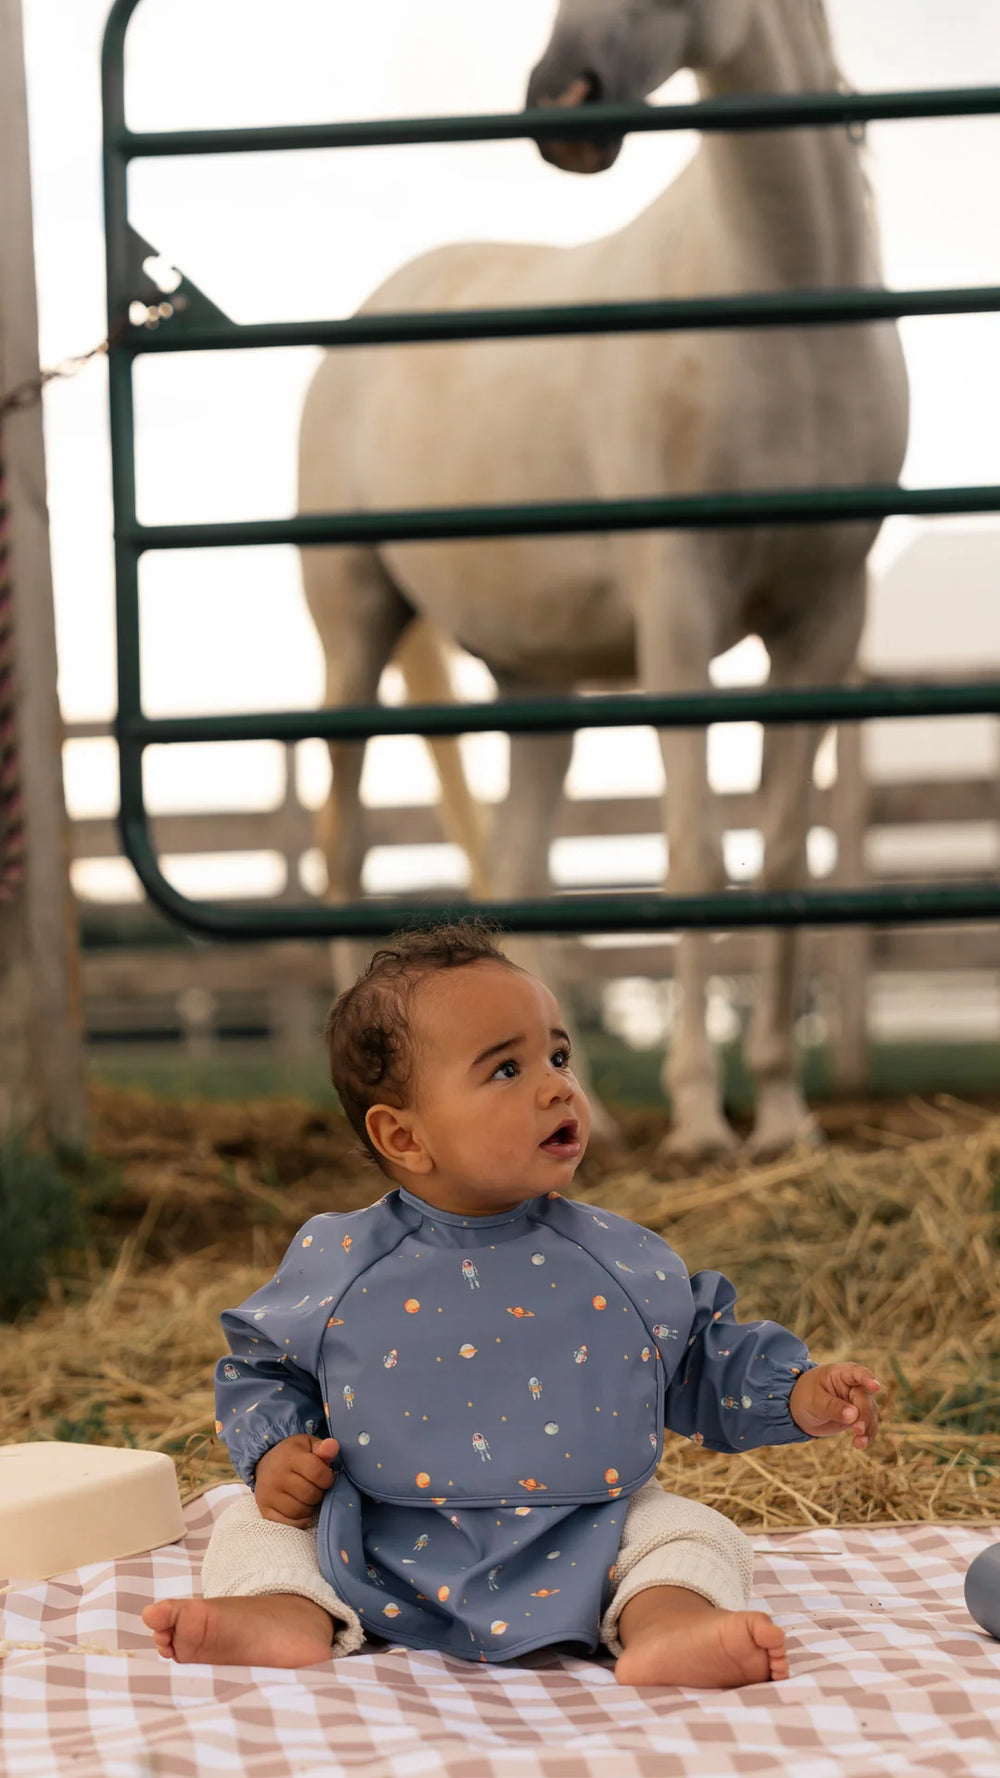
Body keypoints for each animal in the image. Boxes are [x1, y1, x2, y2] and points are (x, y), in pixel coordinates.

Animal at [295, 0, 903, 1166]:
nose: (560, 105)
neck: (780, 313)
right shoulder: (679, 612)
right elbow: (696, 857)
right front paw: (705, 1121)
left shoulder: (824, 620)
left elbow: (785, 863)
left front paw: (784, 1118)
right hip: (356, 626)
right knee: (340, 845)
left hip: (533, 684)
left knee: (516, 870)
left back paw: (603, 1120)